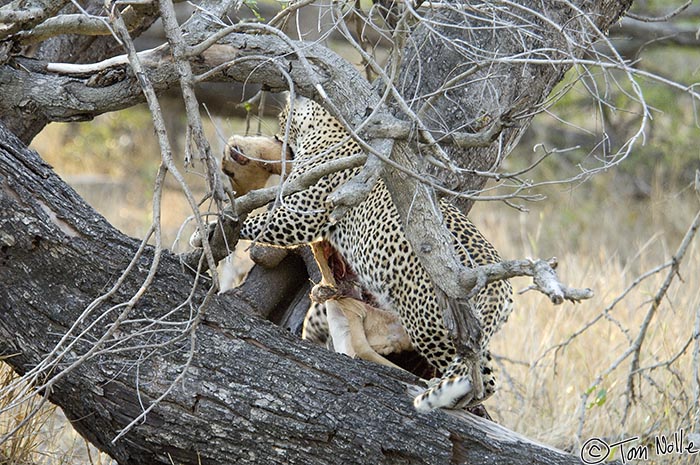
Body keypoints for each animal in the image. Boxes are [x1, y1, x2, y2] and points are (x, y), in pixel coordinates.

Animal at [227, 96, 512, 412]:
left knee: (472, 371)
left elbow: (261, 223)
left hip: (430, 325)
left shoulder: (302, 215)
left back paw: (446, 395)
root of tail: (497, 280)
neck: (330, 129)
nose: (279, 134)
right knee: (485, 375)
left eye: (282, 117)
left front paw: (216, 222)